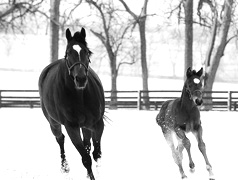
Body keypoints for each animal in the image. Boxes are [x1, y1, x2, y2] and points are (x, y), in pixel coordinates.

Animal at [38, 27, 104, 179]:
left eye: (86, 51)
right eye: (68, 53)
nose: (80, 79)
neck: (80, 96)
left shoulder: (97, 123)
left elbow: (96, 153)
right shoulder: (71, 127)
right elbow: (86, 159)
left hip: (86, 126)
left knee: (87, 144)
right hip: (54, 123)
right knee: (60, 139)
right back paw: (65, 167)